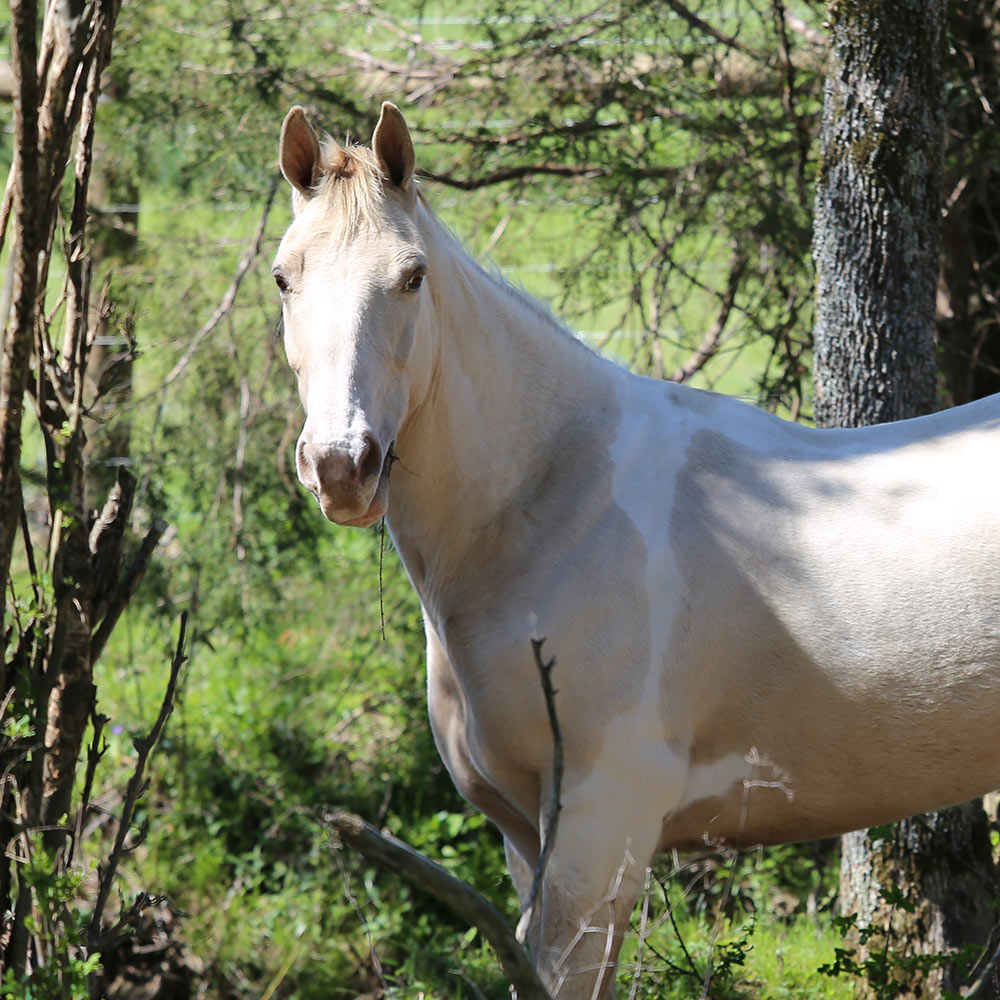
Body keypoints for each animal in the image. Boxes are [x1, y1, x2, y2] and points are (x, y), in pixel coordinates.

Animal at [274, 103, 1000, 1000]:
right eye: (284, 278)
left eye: (411, 277)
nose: (342, 465)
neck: (556, 502)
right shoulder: (530, 842)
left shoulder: (600, 835)